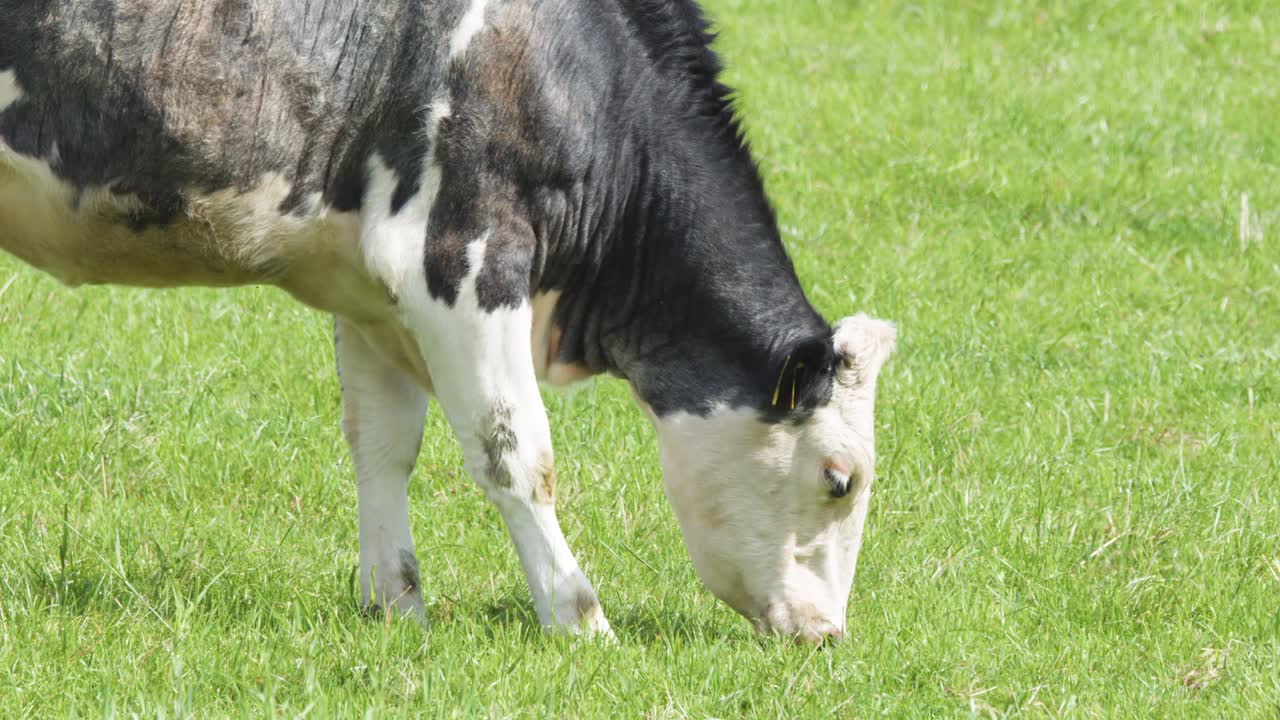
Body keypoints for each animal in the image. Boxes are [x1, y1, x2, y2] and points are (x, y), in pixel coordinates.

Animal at [0, 0, 895, 643]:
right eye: (840, 479)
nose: (829, 635)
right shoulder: (462, 254)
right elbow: (517, 453)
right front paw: (580, 620)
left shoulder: (365, 287)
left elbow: (382, 444)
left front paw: (396, 608)